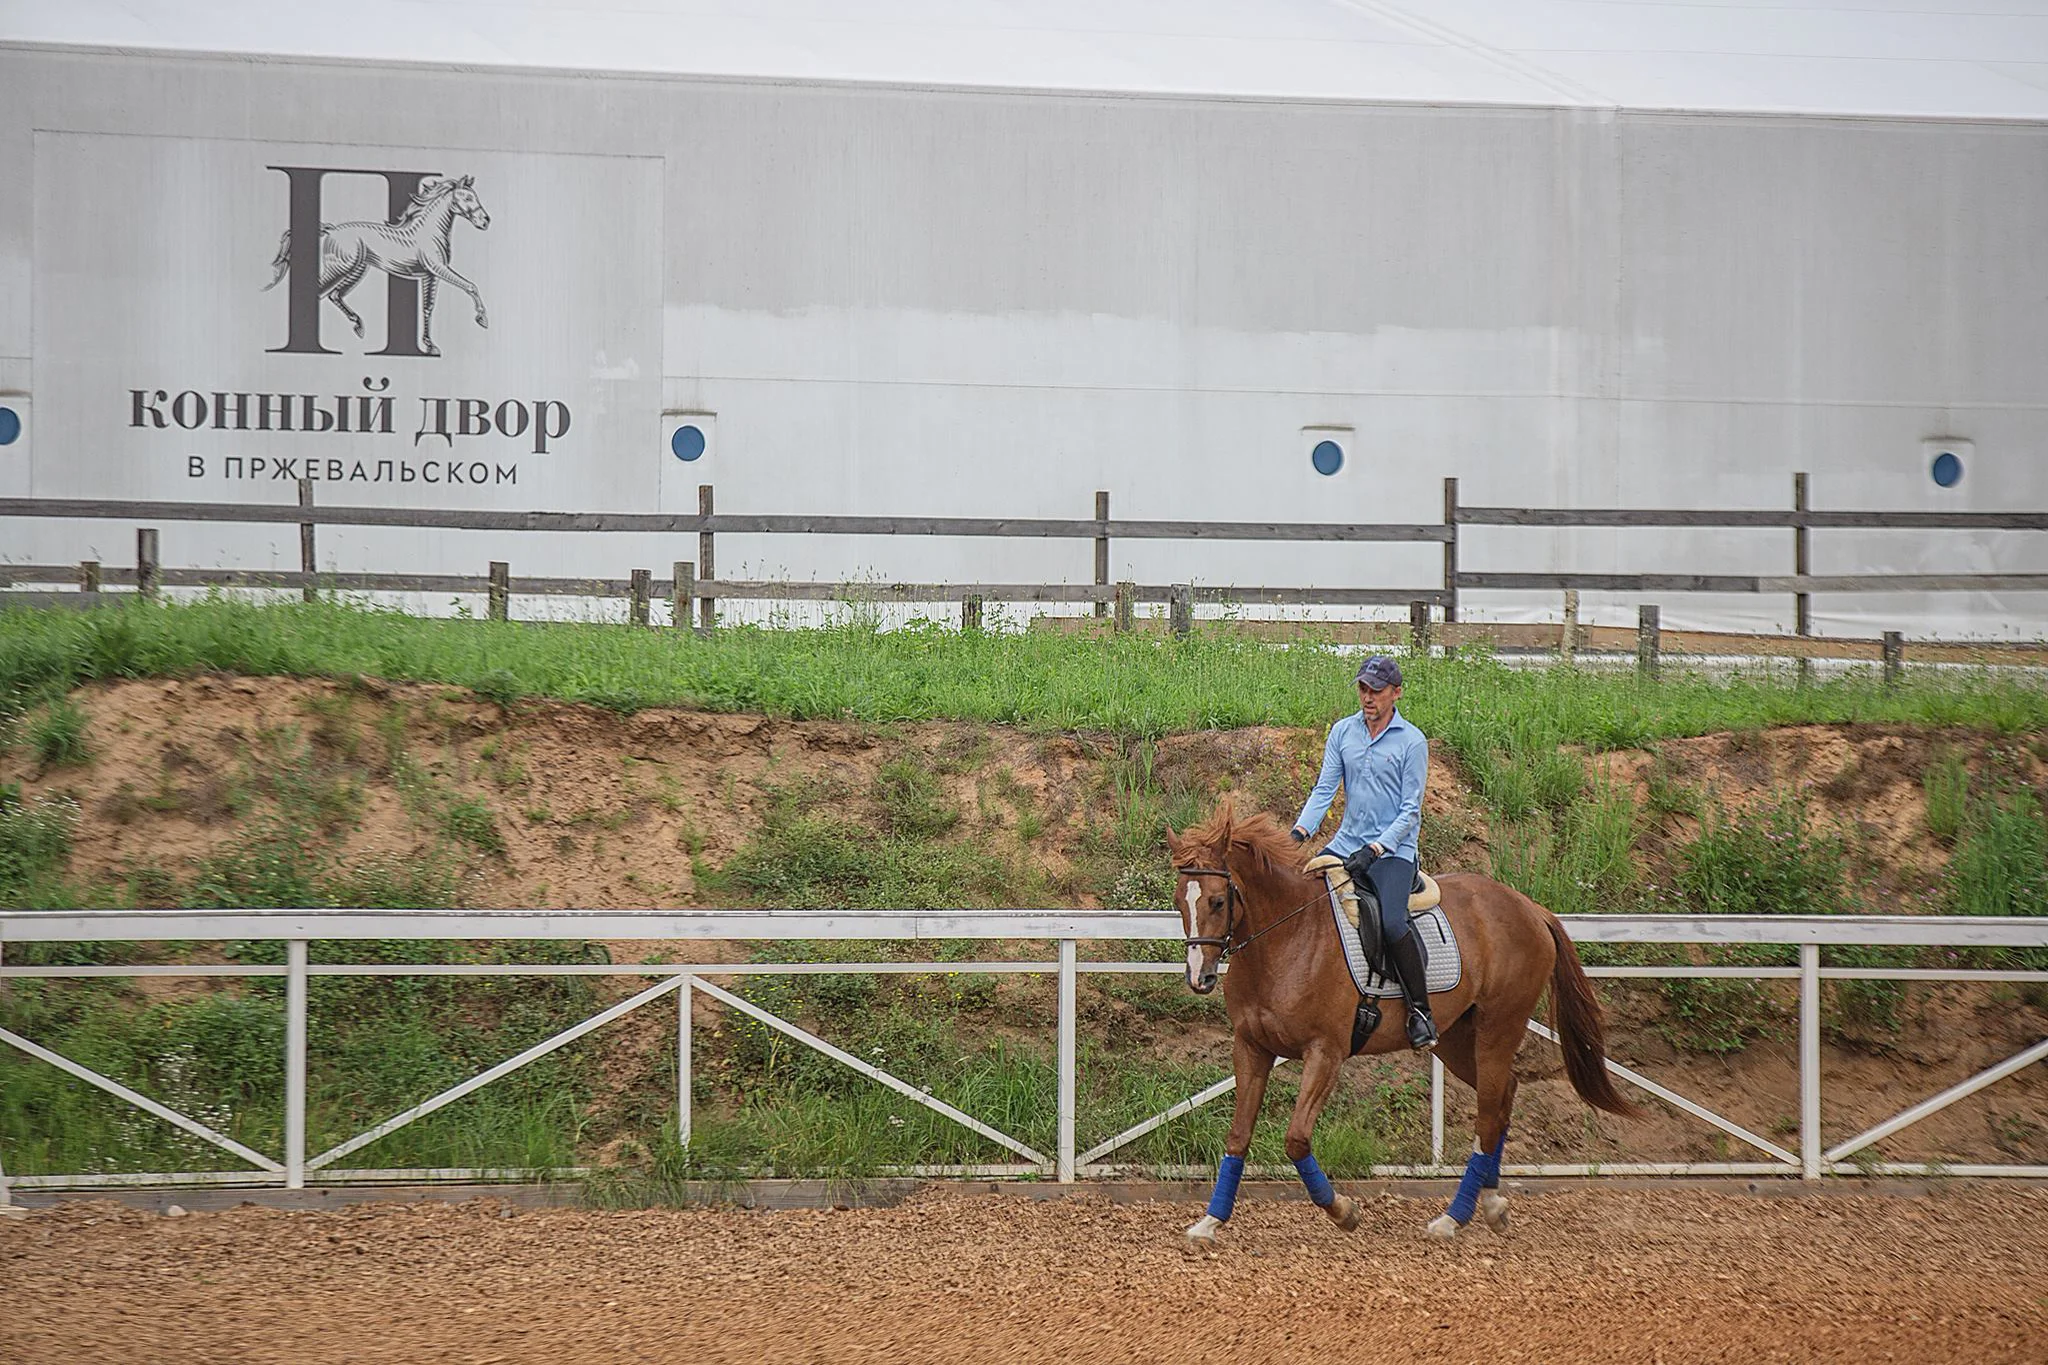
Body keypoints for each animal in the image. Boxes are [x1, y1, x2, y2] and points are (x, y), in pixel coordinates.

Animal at [1171, 802, 1630, 1252]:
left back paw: (1453, 1218)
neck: (1287, 938)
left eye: (1217, 902)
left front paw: (1344, 1212)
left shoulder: (1325, 1052)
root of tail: (1529, 907)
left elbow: (1296, 1138)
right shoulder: (1251, 1048)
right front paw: (1209, 1222)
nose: (1199, 978)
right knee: (1502, 1099)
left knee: (1487, 1114)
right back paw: (1491, 1204)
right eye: (1179, 901)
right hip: (1456, 1039)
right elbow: (1237, 1136)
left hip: (1499, 1027)